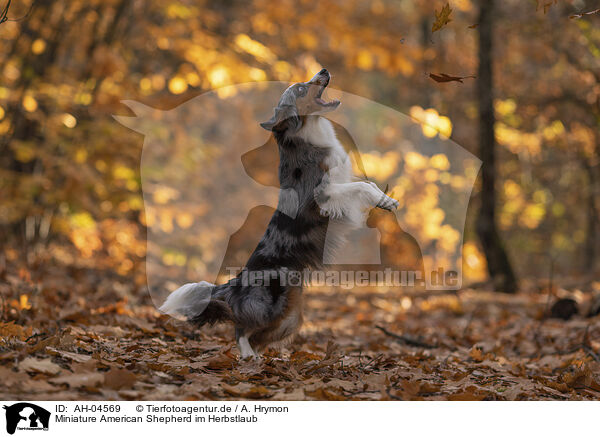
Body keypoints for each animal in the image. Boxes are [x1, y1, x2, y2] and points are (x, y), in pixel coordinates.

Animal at [159, 69, 398, 358]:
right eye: (300, 89)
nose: (323, 71)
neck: (308, 132)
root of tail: (236, 282)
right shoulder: (322, 196)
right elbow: (363, 185)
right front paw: (385, 201)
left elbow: (369, 184)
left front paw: (386, 200)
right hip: (271, 306)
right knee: (240, 328)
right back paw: (248, 357)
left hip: (289, 317)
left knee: (256, 334)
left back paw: (257, 358)